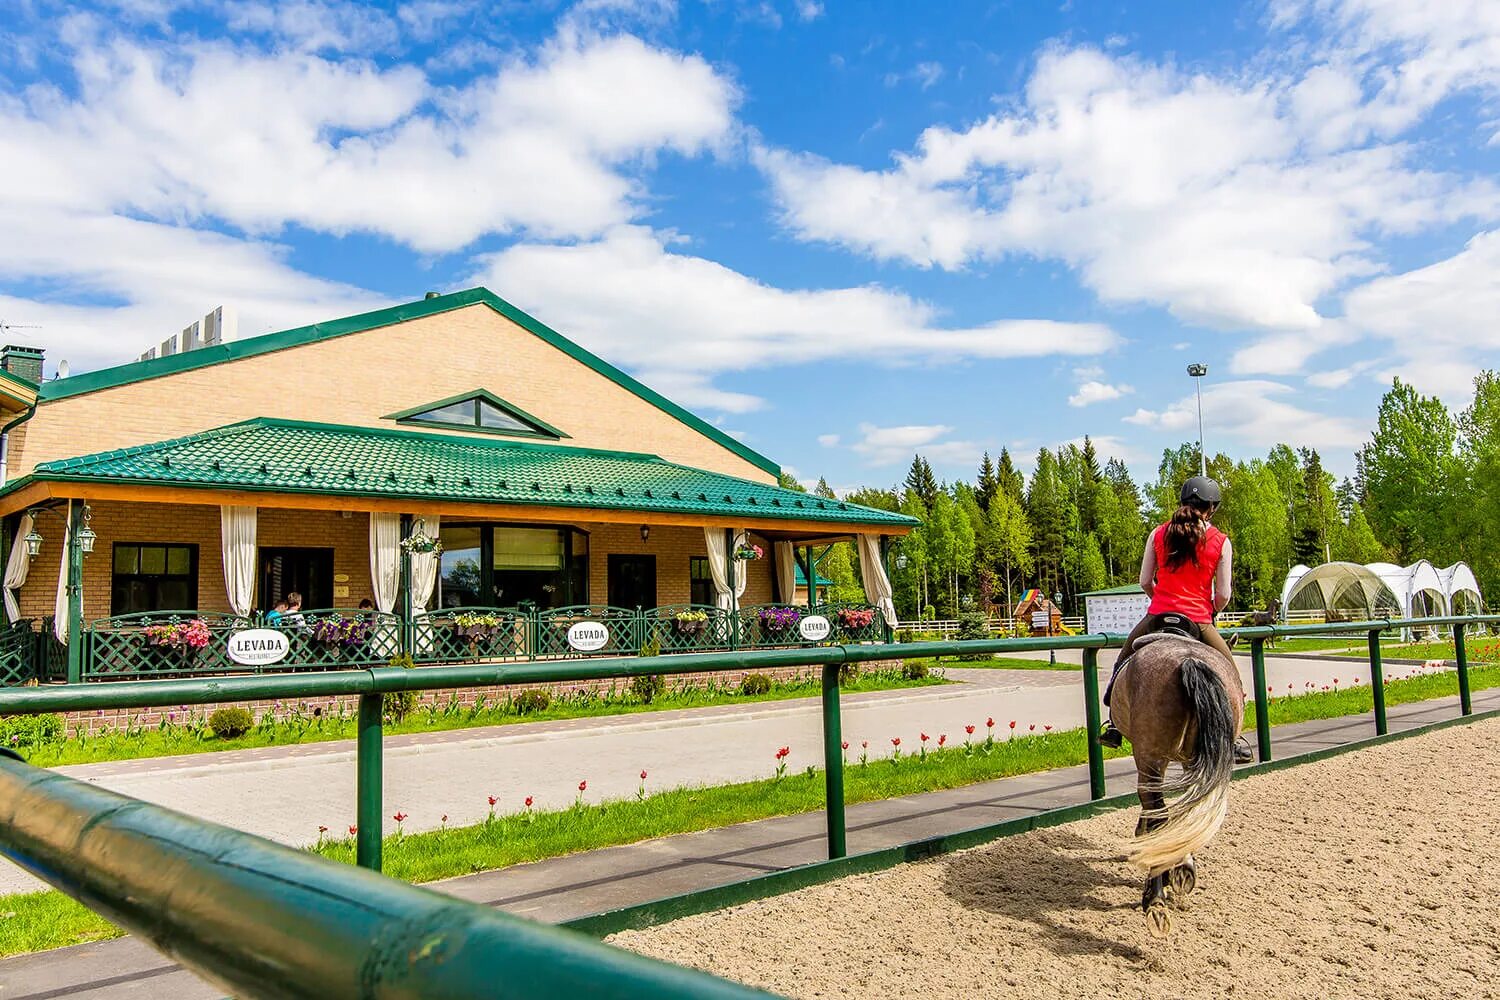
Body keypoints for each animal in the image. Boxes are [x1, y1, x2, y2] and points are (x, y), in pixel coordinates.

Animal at [1116, 632, 1242, 941]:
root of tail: (1189, 659)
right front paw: (1180, 864)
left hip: (1150, 757)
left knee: (1160, 815)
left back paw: (1155, 899)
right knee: (1186, 811)